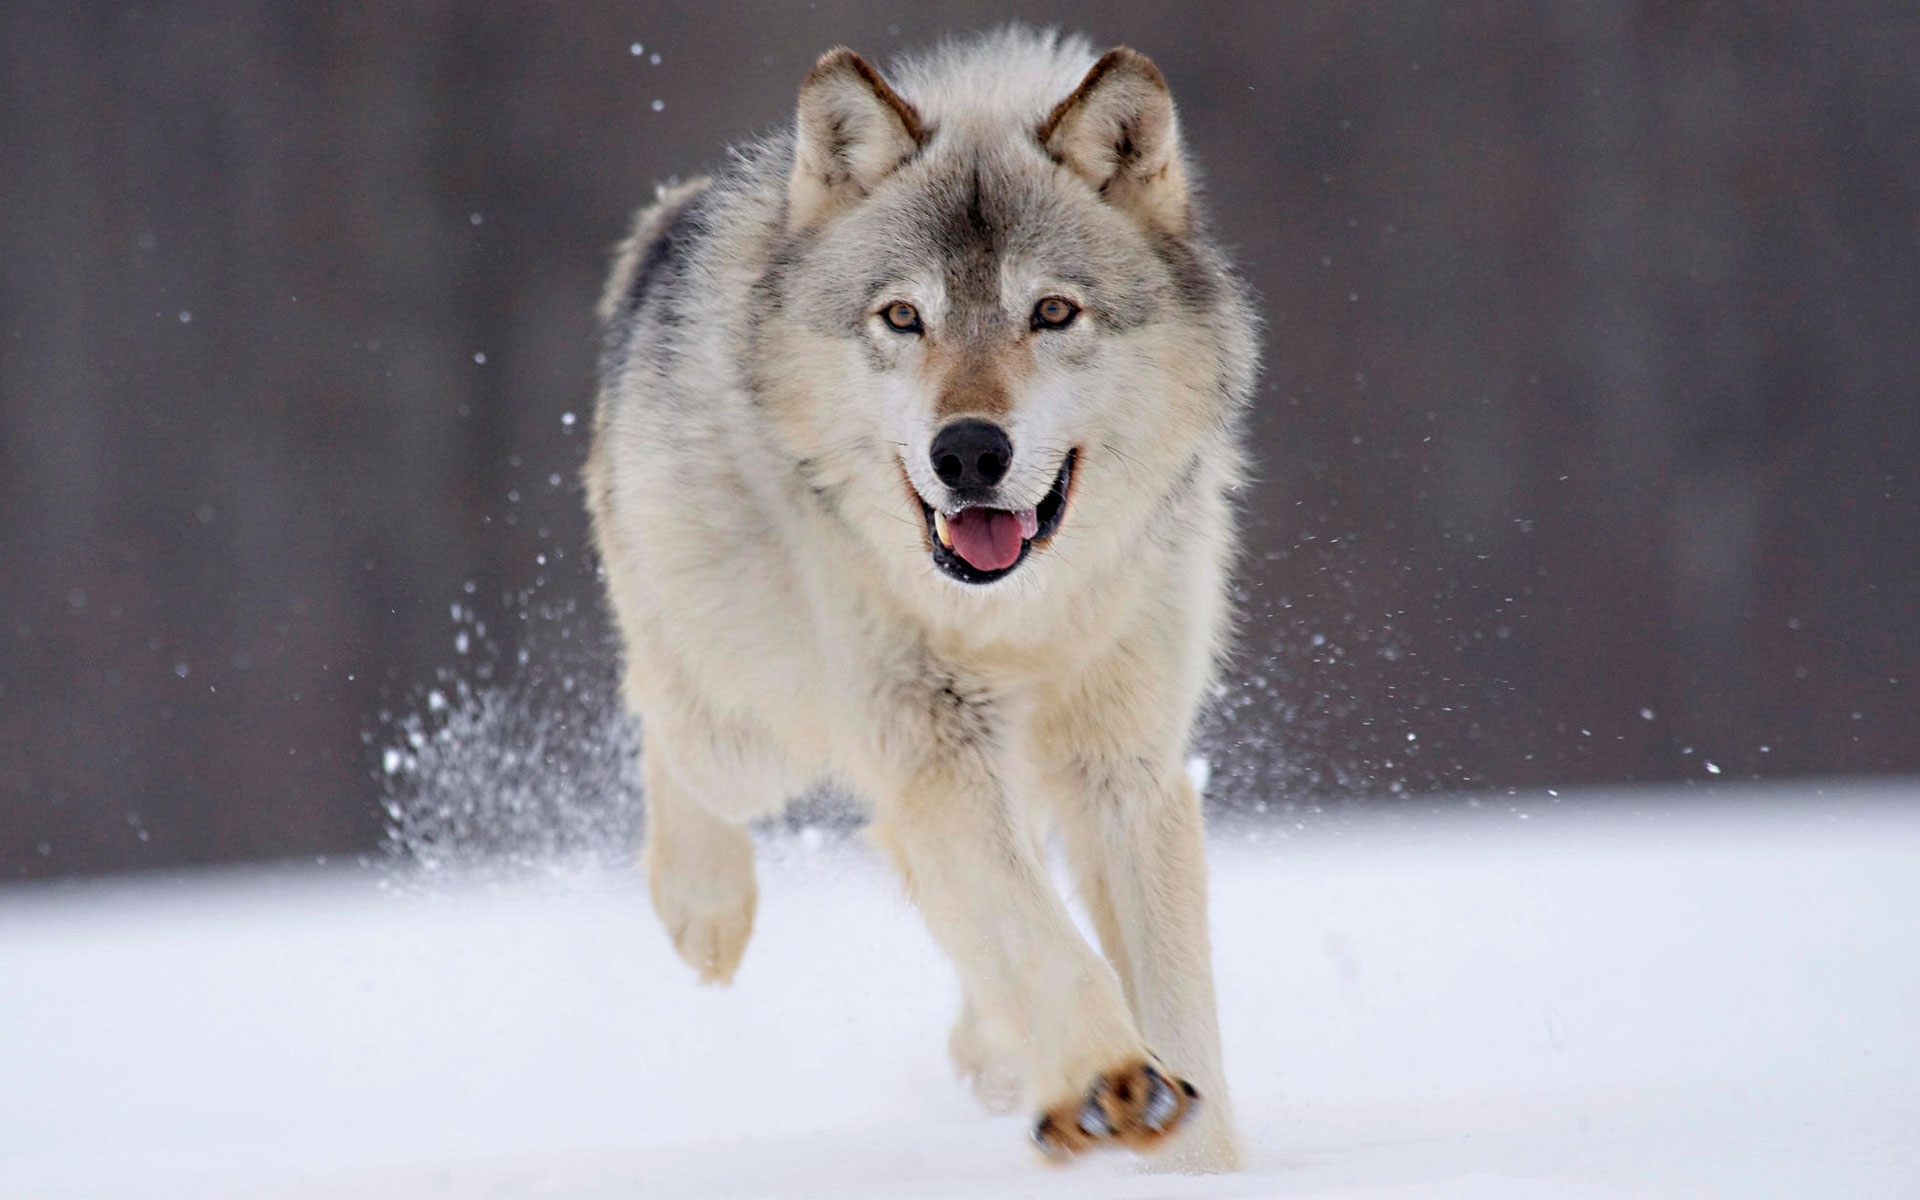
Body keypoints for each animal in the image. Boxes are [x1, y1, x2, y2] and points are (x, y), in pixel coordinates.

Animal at [584, 27, 1257, 1171]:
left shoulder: (1126, 770)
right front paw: (1108, 1081)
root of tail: (671, 220)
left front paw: (1190, 1157)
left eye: (1052, 312)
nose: (969, 452)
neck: (1018, 617)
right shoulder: (933, 745)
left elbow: (1174, 1005)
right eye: (903, 317)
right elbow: (1043, 940)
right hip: (752, 726)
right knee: (665, 720)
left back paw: (995, 1056)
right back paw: (704, 910)